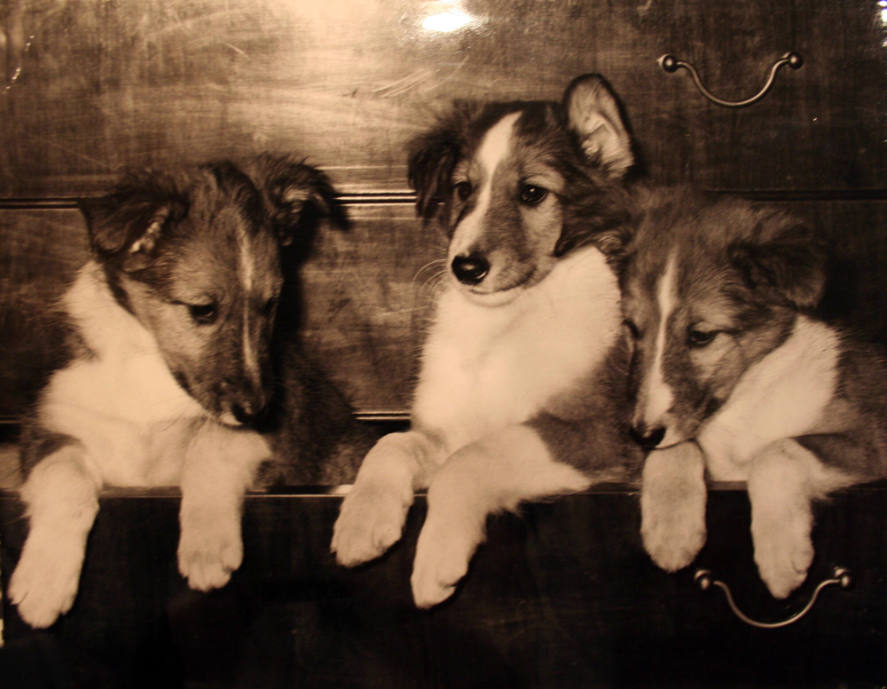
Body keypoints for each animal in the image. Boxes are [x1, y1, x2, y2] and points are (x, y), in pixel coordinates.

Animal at [6, 155, 370, 628]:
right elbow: (64, 478)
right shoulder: (47, 427)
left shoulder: (273, 447)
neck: (150, 365)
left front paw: (207, 547)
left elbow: (212, 443)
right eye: (203, 309)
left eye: (270, 304)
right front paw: (43, 584)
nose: (257, 411)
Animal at [620, 188, 887, 596]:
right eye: (633, 328)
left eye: (701, 335)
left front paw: (780, 557)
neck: (743, 405)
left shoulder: (869, 440)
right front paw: (671, 531)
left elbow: (777, 451)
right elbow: (677, 448)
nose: (641, 435)